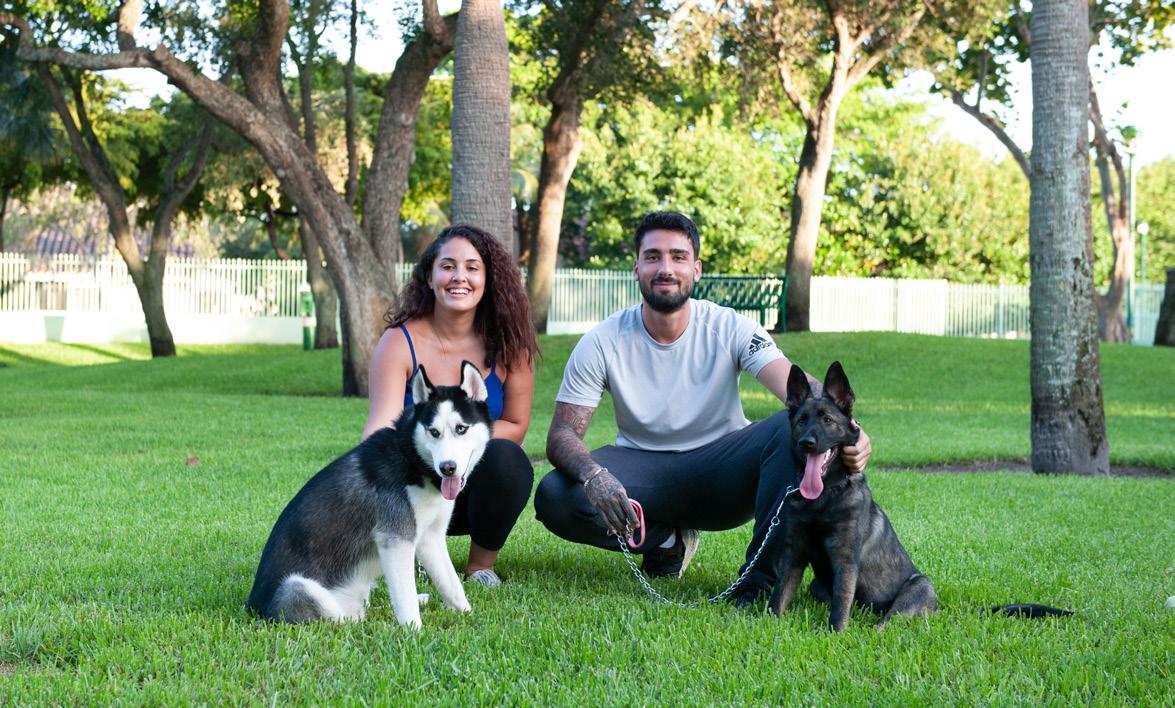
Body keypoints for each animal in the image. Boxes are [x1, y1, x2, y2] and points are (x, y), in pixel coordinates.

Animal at [246, 361, 492, 627]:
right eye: (433, 432)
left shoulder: (430, 538)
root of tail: (253, 609)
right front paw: (414, 631)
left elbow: (452, 586)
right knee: (348, 620)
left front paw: (468, 616)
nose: (447, 467)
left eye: (461, 429)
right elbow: (405, 598)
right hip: (299, 588)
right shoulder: (395, 540)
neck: (412, 459)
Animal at [767, 361, 937, 631]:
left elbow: (841, 600)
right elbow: (779, 595)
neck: (824, 497)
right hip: (816, 585)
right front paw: (769, 624)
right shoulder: (793, 554)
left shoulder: (845, 561)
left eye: (827, 420)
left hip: (919, 586)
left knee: (887, 622)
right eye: (801, 421)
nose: (806, 443)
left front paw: (835, 632)